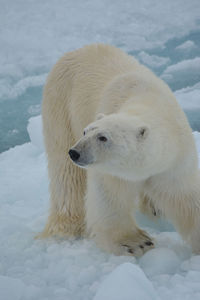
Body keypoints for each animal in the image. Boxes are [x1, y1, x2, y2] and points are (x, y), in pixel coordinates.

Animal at [40, 44, 200, 255]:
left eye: (103, 137)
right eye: (86, 131)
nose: (75, 152)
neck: (148, 100)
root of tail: (75, 51)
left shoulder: (175, 161)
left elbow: (185, 197)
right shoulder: (113, 170)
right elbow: (109, 196)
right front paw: (136, 242)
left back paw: (154, 207)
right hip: (60, 105)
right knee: (67, 175)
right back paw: (66, 228)